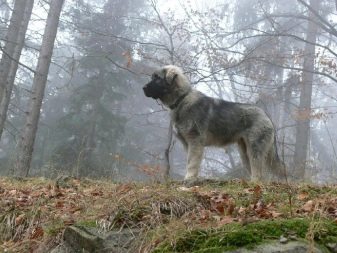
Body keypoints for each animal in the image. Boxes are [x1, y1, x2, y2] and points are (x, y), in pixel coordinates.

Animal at [142, 65, 284, 182]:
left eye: (157, 78)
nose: (143, 88)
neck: (182, 98)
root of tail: (266, 115)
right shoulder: (187, 144)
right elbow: (189, 161)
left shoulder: (195, 141)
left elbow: (192, 162)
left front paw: (189, 178)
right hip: (244, 151)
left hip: (255, 148)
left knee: (259, 171)